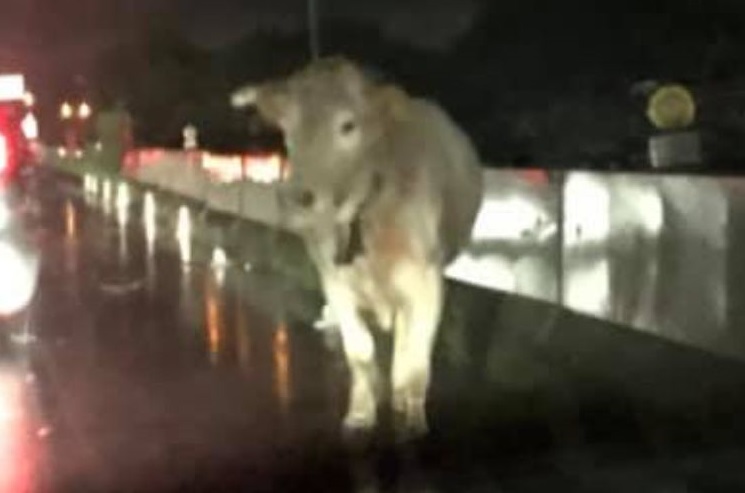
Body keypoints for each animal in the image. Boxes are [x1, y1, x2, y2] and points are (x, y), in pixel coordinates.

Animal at [230, 57, 482, 438]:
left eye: (348, 125)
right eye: (287, 127)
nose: (296, 197)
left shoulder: (427, 284)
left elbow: (416, 358)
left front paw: (412, 413)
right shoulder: (334, 283)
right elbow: (359, 351)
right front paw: (361, 412)